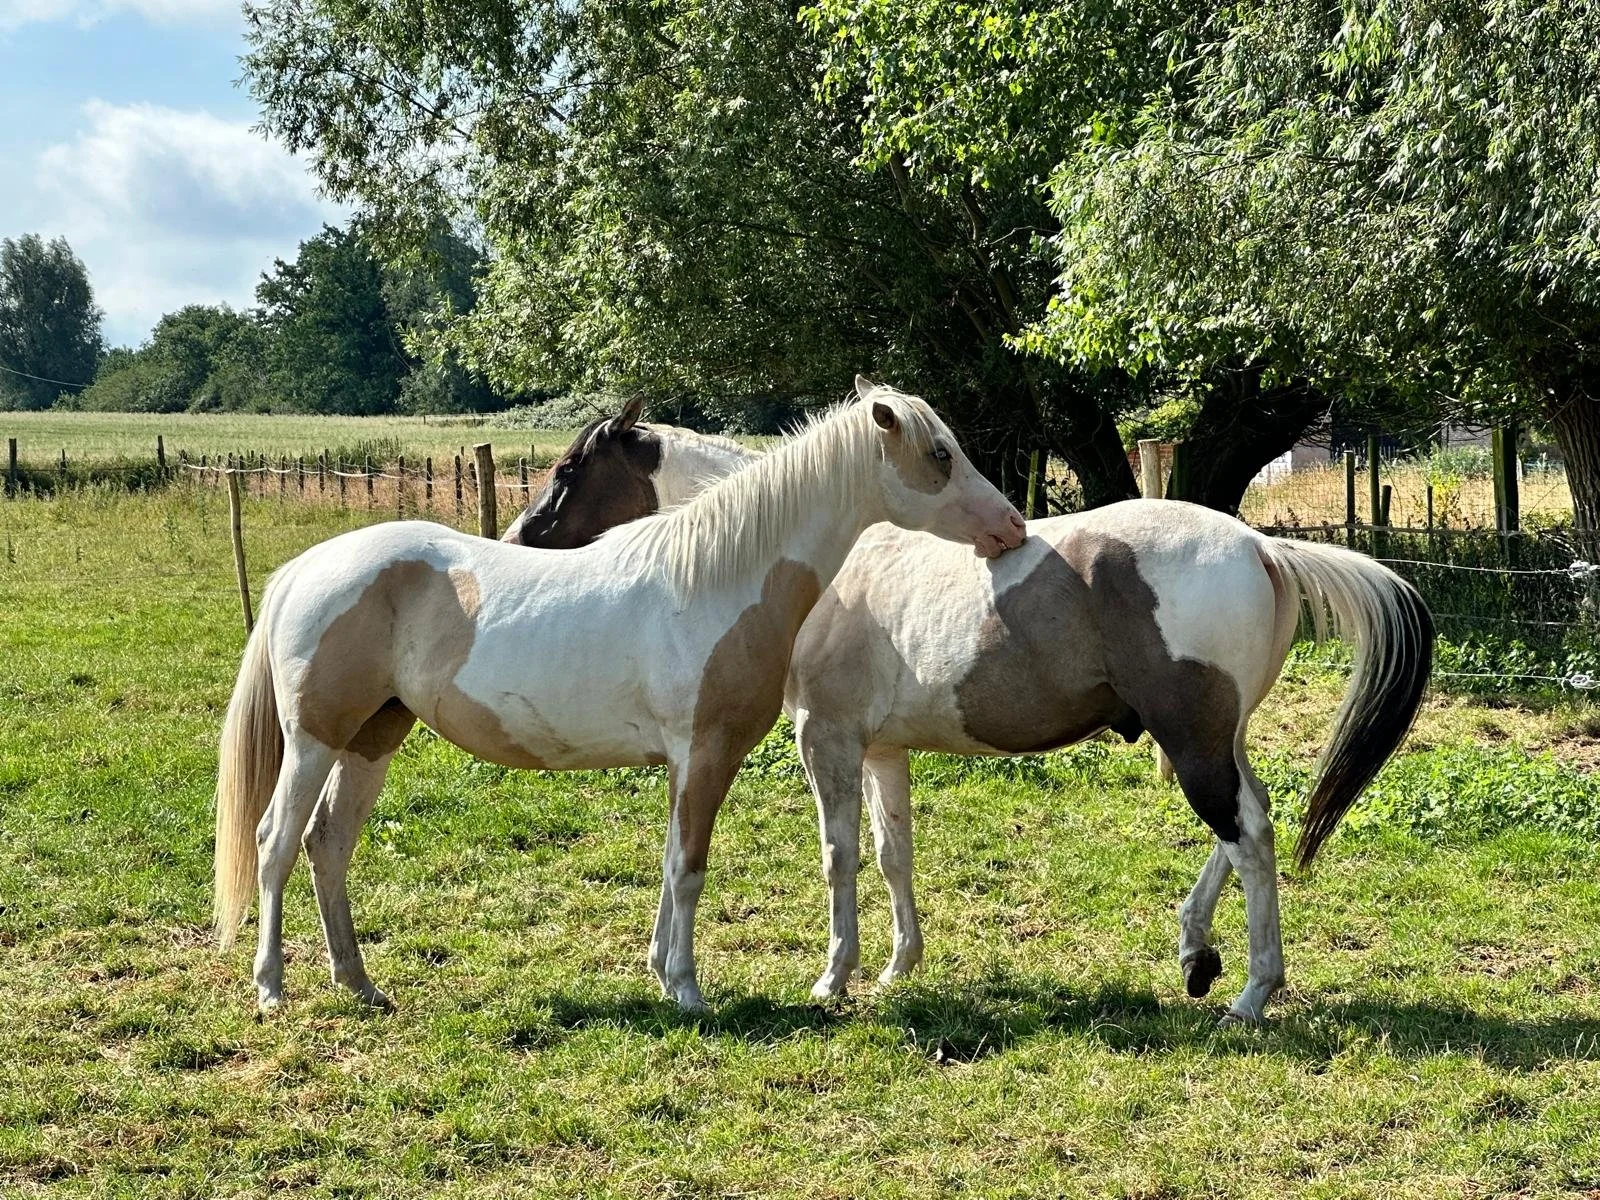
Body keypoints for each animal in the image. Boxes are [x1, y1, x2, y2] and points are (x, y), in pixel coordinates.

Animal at [212, 381, 1026, 1013]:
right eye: (940, 454)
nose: (1011, 526)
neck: (718, 576)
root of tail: (304, 569)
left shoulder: (682, 763)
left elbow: (670, 866)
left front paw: (664, 976)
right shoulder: (705, 755)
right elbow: (690, 868)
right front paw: (690, 991)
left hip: (372, 738)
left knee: (328, 843)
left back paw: (359, 984)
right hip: (314, 740)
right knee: (276, 841)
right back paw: (271, 988)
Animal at [502, 403, 1433, 1022]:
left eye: (567, 472)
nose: (517, 539)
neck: (813, 567)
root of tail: (1262, 547)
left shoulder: (825, 740)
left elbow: (839, 858)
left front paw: (834, 978)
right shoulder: (882, 750)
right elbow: (892, 856)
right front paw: (897, 967)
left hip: (1194, 741)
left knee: (1247, 834)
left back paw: (1248, 990)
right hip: (1210, 739)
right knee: (1249, 826)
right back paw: (1196, 953)